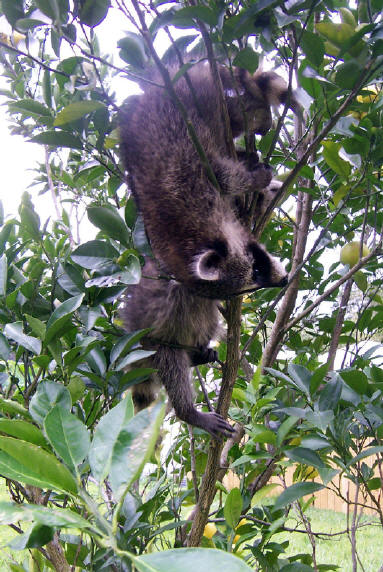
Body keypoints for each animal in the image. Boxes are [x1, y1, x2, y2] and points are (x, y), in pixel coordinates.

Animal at [118, 62, 298, 438]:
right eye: (254, 273)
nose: (282, 280)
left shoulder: (192, 178)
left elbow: (232, 180)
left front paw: (264, 183)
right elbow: (230, 177)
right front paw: (258, 181)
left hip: (193, 102)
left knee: (234, 112)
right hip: (152, 346)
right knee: (171, 360)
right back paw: (189, 405)